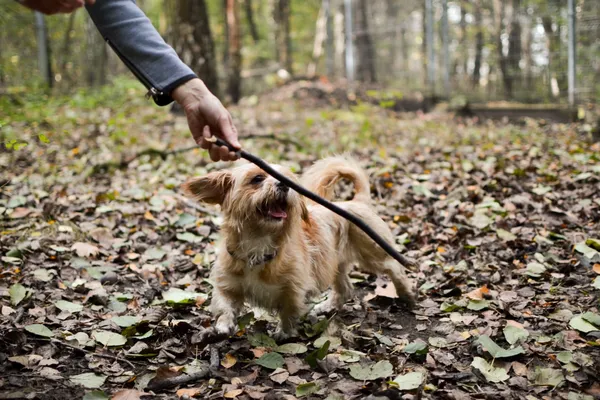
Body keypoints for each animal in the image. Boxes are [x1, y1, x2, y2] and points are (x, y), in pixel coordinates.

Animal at [183, 155, 414, 340]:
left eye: (288, 181)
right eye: (257, 179)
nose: (283, 186)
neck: (258, 242)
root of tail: (357, 201)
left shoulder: (293, 289)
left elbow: (289, 311)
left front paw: (284, 333)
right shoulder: (228, 284)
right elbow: (224, 305)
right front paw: (223, 325)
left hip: (372, 254)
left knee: (394, 266)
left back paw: (406, 293)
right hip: (335, 264)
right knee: (346, 288)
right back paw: (326, 307)